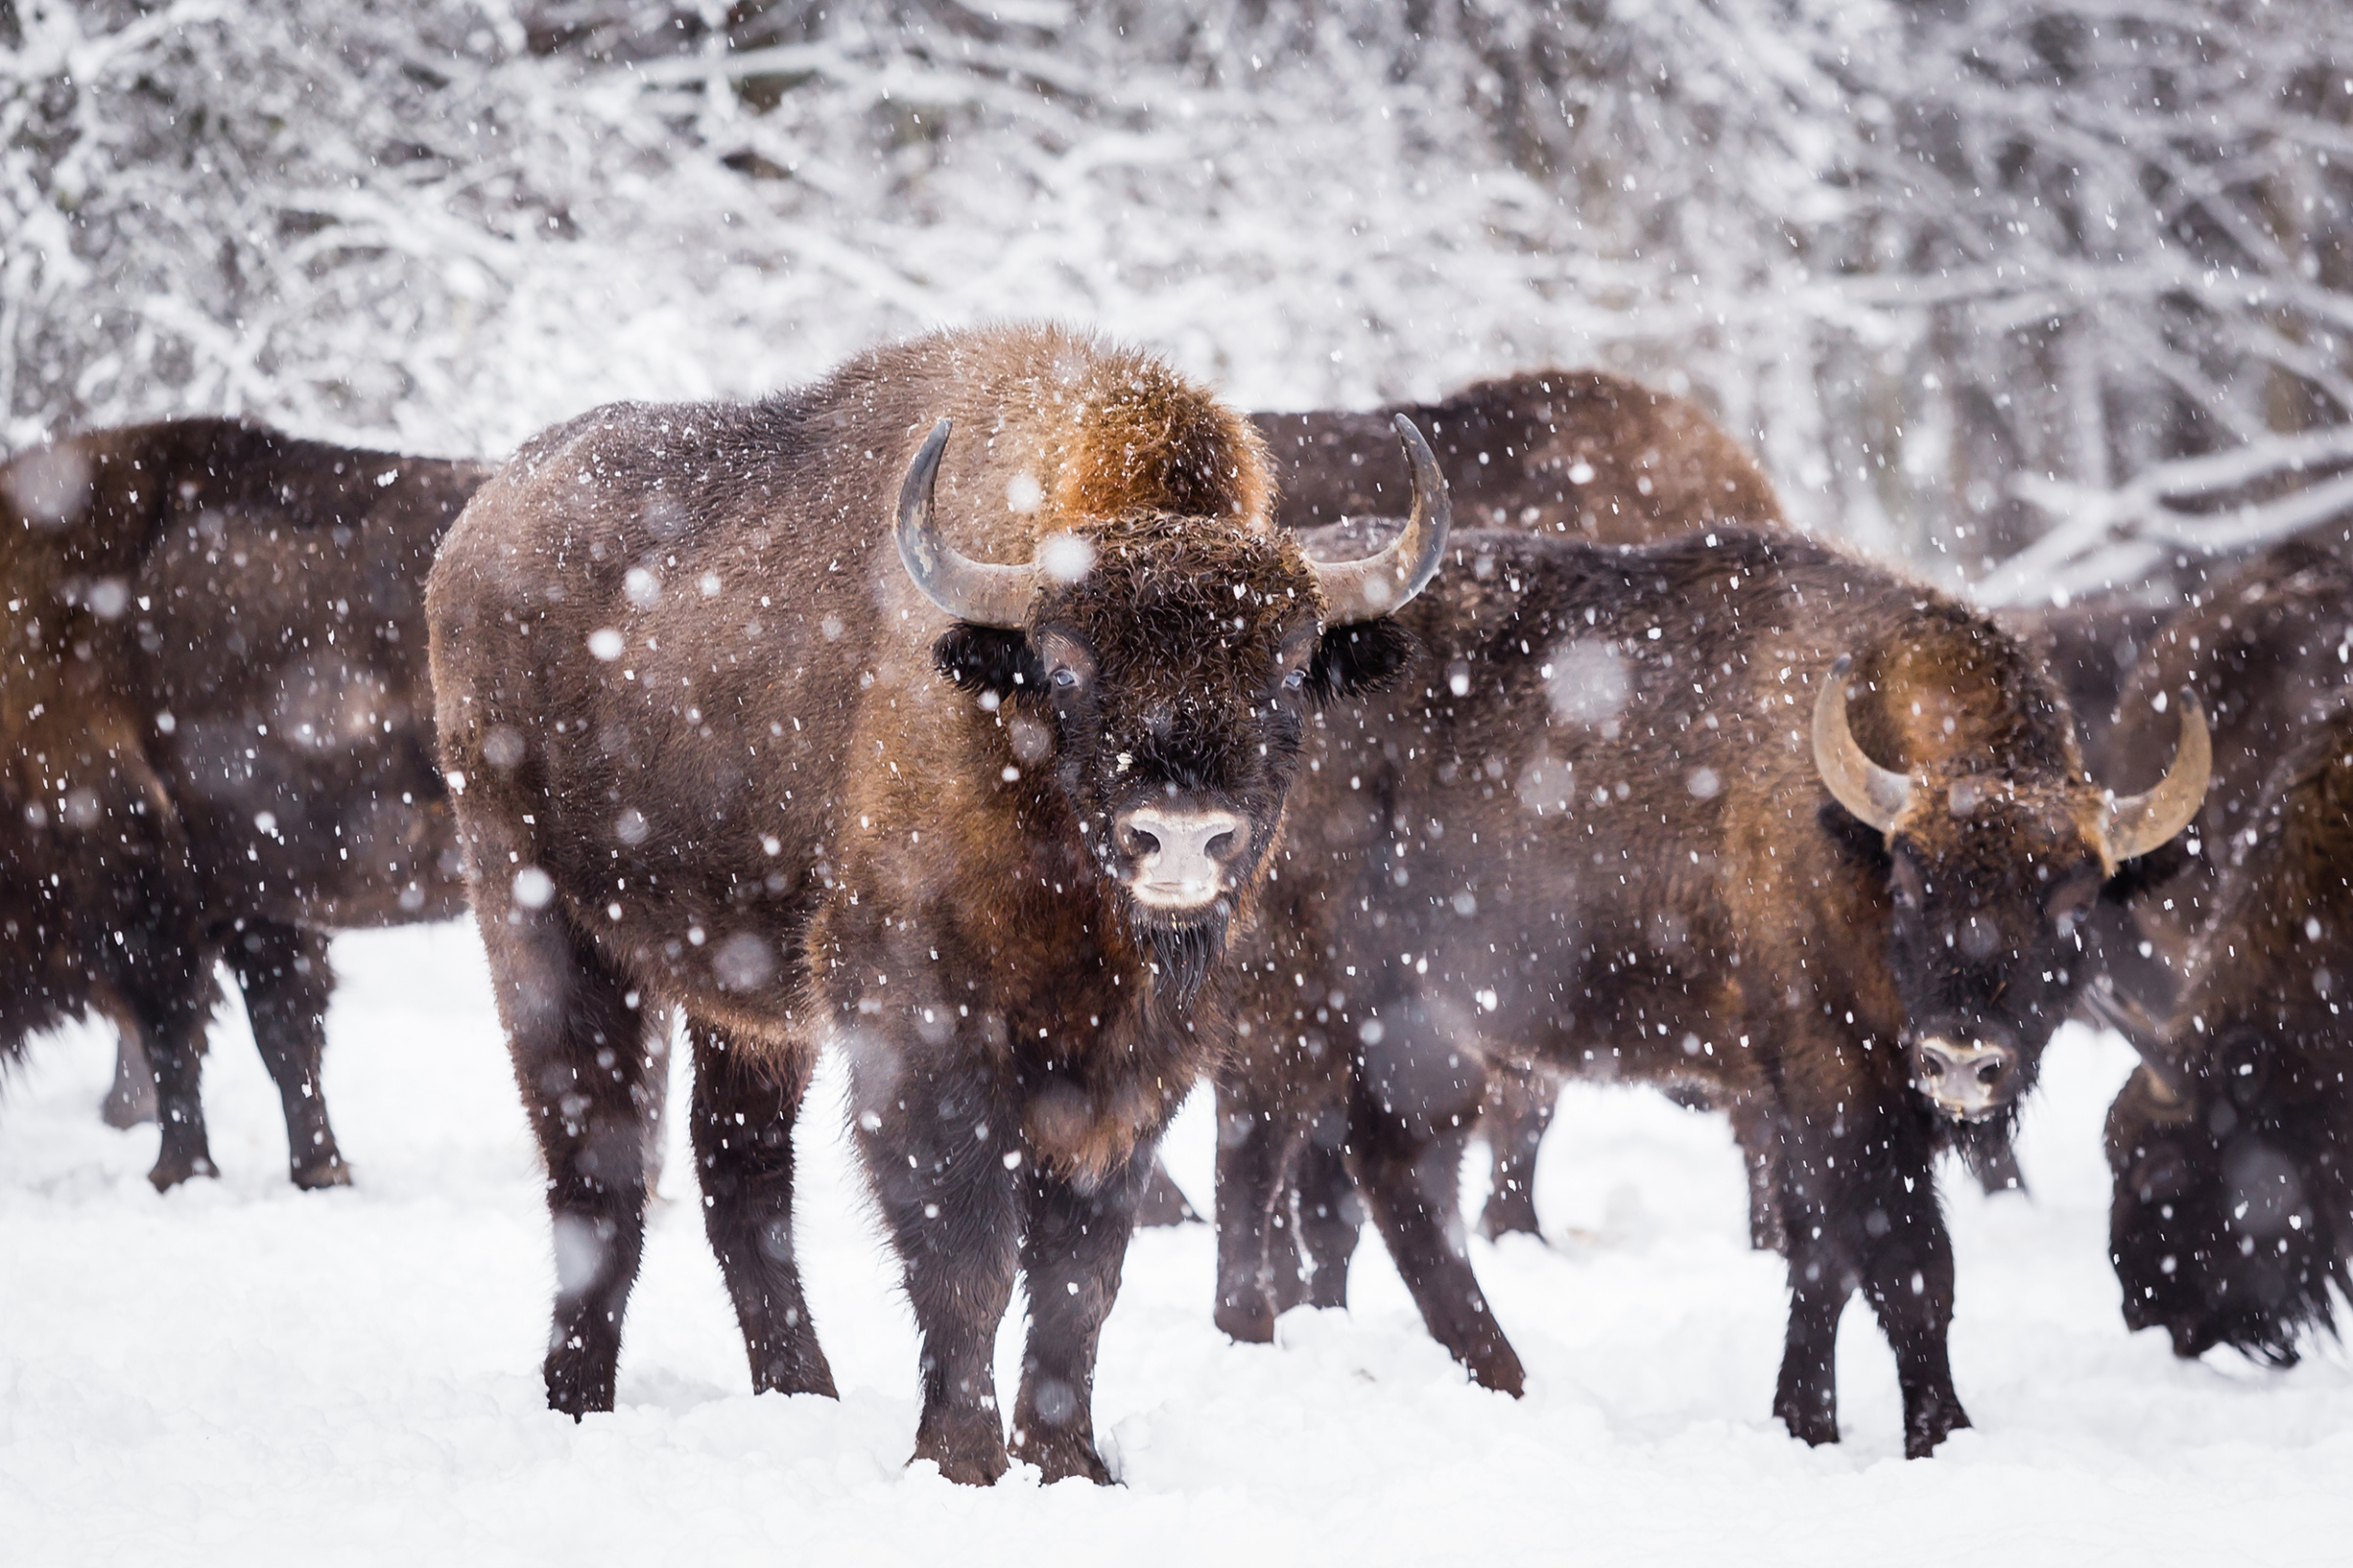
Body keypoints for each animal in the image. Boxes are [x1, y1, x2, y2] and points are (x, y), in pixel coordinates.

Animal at [0, 414, 482, 1186]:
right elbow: (285, 1037)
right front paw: (320, 1173)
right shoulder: (256, 898)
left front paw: (177, 1174)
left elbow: (173, 1035)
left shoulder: (139, 888)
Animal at [427, 326, 1449, 1478]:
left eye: (1289, 663)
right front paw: (960, 1458)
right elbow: (967, 1253)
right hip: (542, 929)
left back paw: (802, 1392)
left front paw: (1069, 1463)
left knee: (739, 1174)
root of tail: (480, 522)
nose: (1181, 835)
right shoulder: (917, 1025)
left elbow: (1079, 1276)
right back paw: (579, 1403)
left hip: (746, 1003)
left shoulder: (1132, 1065)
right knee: (595, 1174)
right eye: (1064, 662)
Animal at [1213, 517, 2202, 1449]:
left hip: (1413, 1030)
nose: (1963, 1059)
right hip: (1294, 1000)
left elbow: (1820, 1260)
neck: (1846, 825)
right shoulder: (1842, 1082)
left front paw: (1804, 1421)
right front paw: (1940, 1436)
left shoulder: (1813, 1101)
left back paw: (1504, 1378)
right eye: (1914, 878)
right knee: (1255, 1154)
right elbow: (1908, 1262)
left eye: (2071, 899)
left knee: (1398, 1184)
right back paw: (1252, 1335)